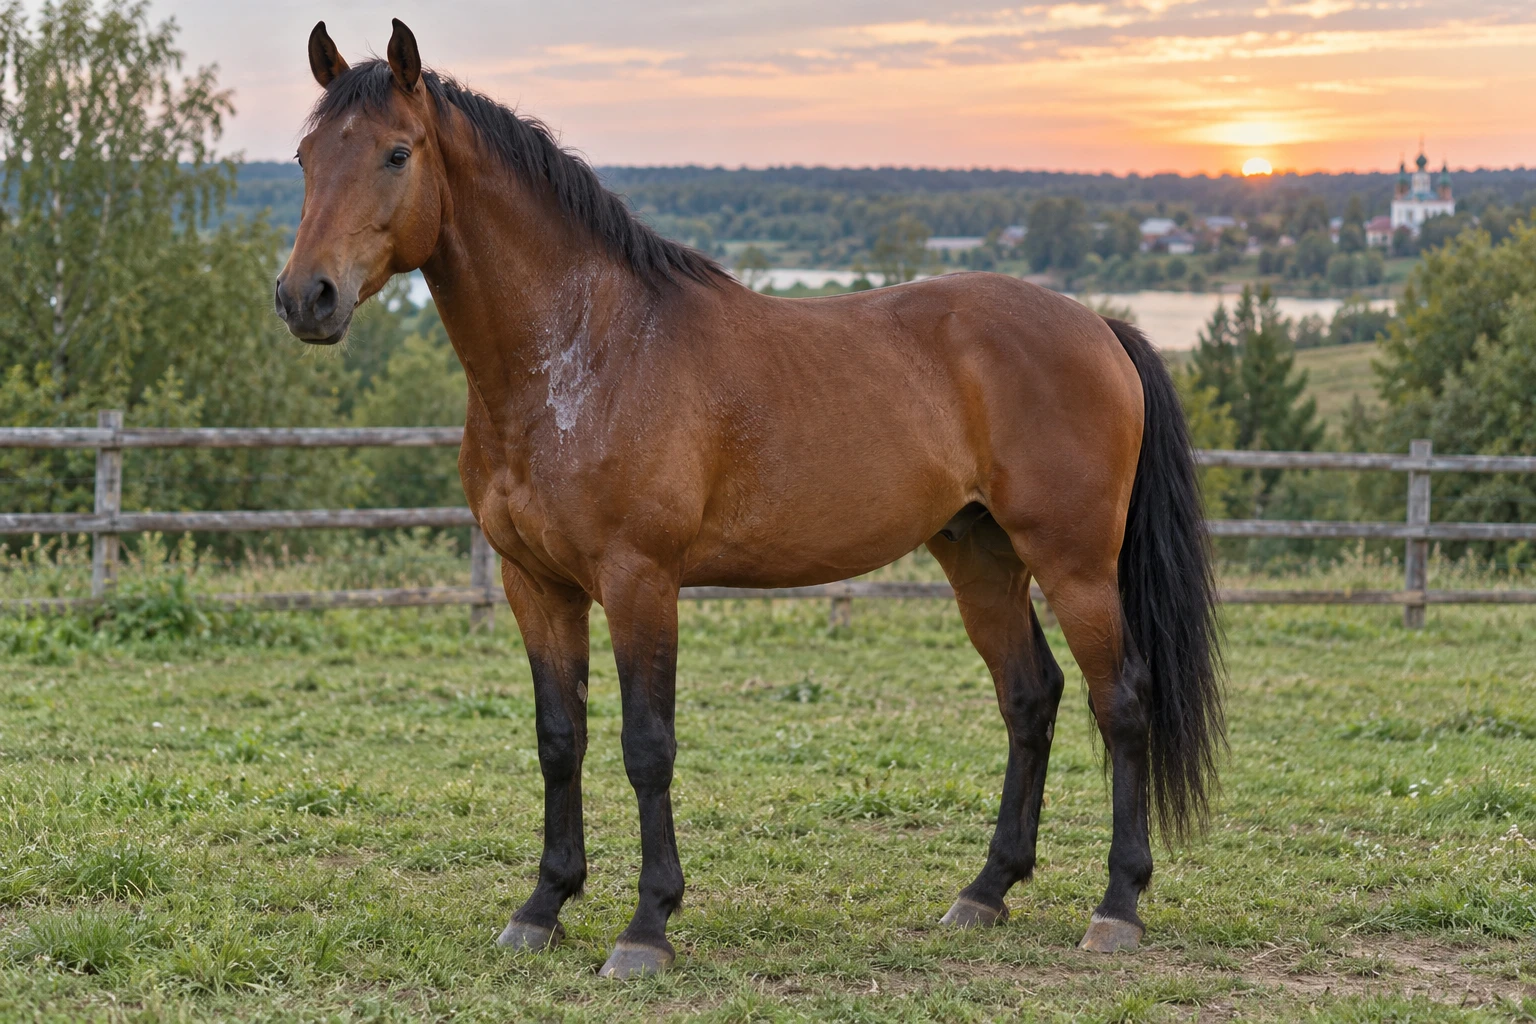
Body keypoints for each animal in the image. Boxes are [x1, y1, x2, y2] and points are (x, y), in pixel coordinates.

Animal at [277, 19, 1224, 979]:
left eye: (397, 153)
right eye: (306, 157)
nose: (305, 297)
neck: (583, 353)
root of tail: (1098, 325)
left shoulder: (640, 581)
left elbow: (646, 745)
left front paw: (646, 925)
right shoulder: (534, 585)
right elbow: (558, 739)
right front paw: (543, 906)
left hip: (1074, 564)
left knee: (1122, 702)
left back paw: (1116, 906)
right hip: (981, 557)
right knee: (1031, 698)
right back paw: (985, 892)